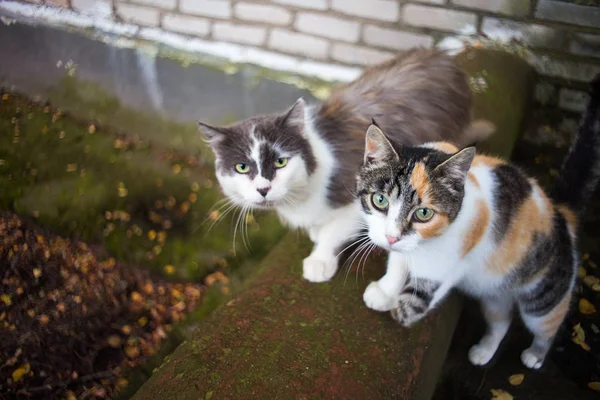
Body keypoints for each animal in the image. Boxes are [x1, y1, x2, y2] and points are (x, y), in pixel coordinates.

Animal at [200, 49, 492, 282]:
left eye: (280, 162)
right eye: (241, 167)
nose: (263, 189)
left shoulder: (359, 195)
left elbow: (335, 229)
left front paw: (319, 260)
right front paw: (315, 232)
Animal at [356, 72, 600, 368]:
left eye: (424, 213)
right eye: (380, 200)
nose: (392, 237)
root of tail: (559, 213)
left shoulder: (457, 254)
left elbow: (429, 282)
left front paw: (404, 310)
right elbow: (399, 261)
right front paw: (385, 291)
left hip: (545, 295)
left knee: (547, 324)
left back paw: (536, 355)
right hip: (495, 292)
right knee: (501, 319)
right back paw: (483, 351)